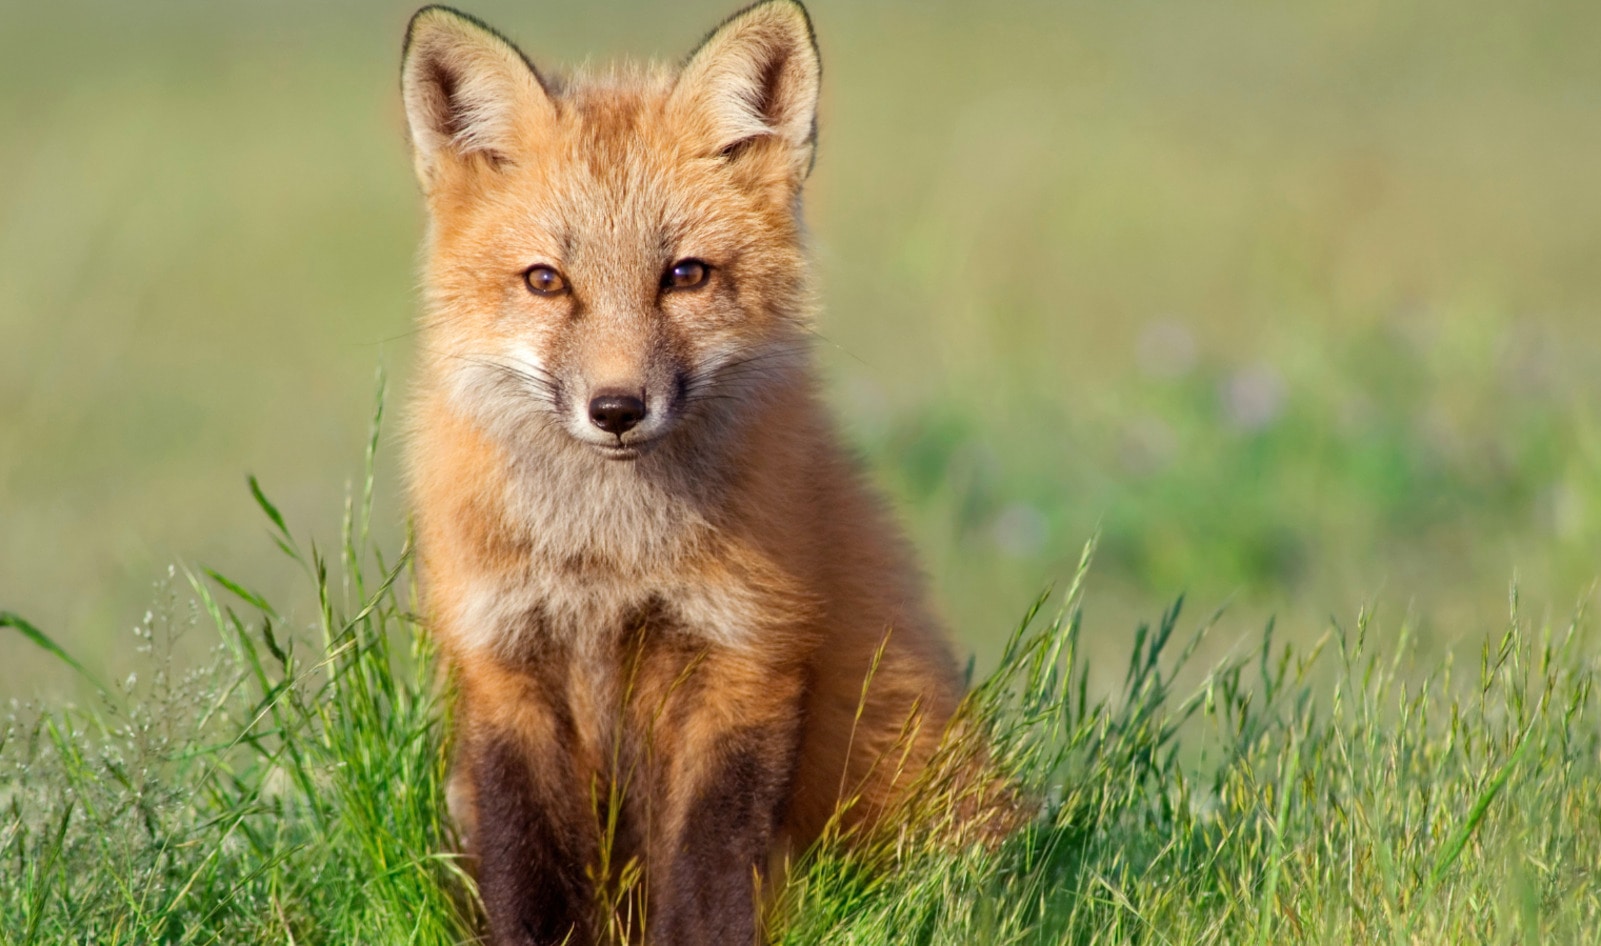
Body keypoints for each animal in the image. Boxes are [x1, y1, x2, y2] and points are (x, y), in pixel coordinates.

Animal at [399, 2, 981, 943]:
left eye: (684, 276)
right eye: (545, 281)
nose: (616, 408)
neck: (607, 560)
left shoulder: (745, 657)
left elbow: (707, 877)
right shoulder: (502, 666)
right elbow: (525, 873)